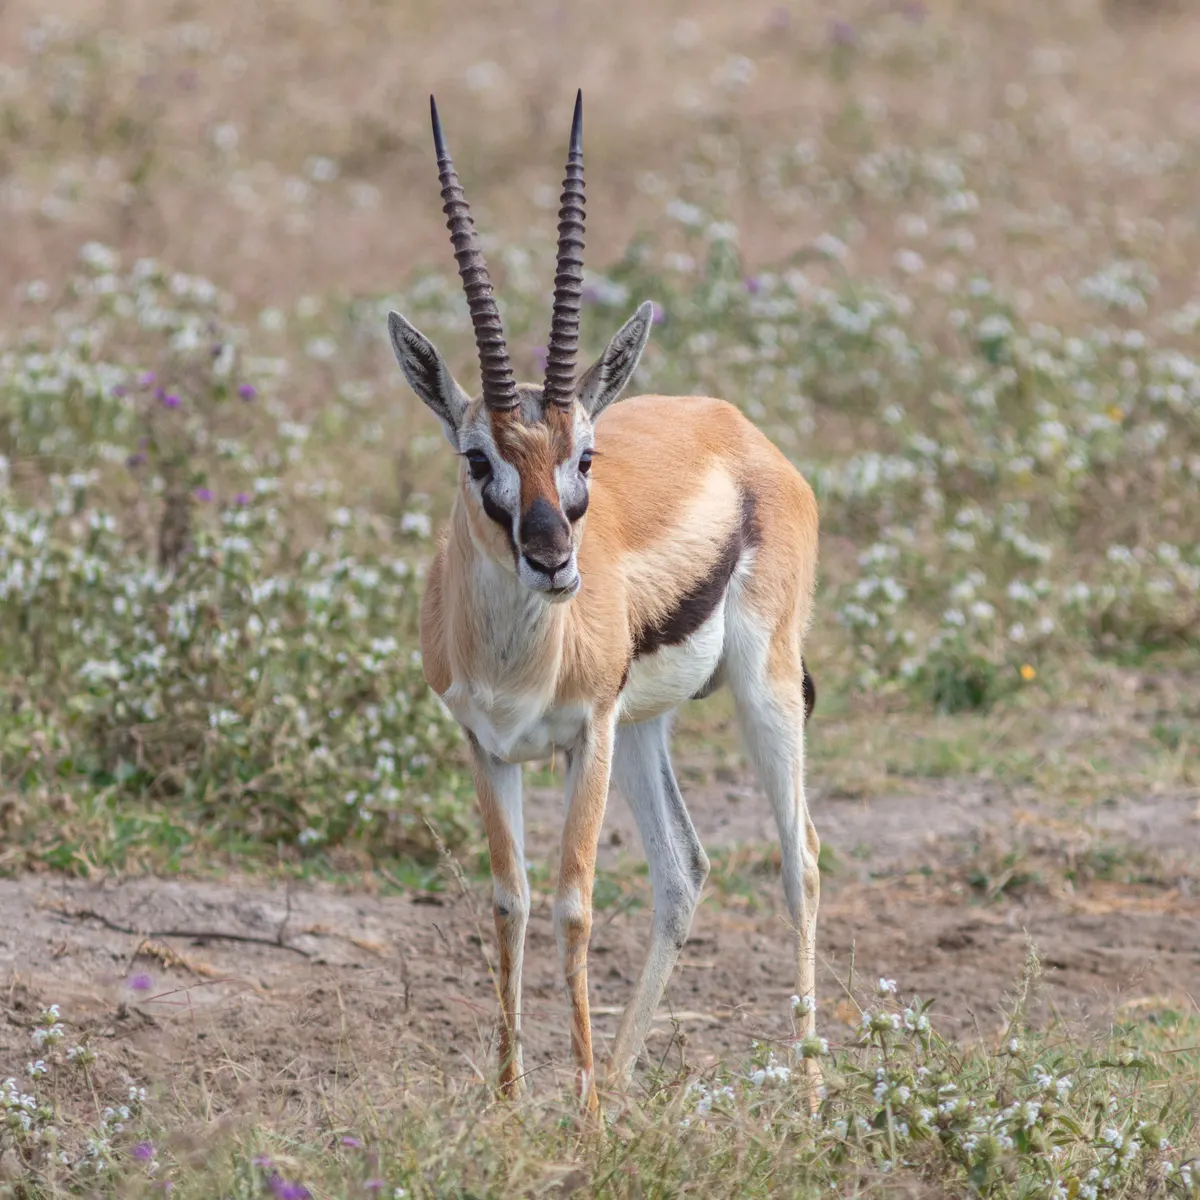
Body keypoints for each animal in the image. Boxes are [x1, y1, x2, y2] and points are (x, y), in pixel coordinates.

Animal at [387, 92, 822, 1111]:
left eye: (585, 454)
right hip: (649, 724)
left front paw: (578, 1115)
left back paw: (812, 1093)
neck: (516, 660)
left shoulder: (587, 735)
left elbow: (576, 901)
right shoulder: (484, 744)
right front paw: (512, 1102)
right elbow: (509, 899)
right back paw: (624, 1084)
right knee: (685, 869)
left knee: (801, 862)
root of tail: (741, 433)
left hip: (762, 689)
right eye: (478, 458)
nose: (552, 559)